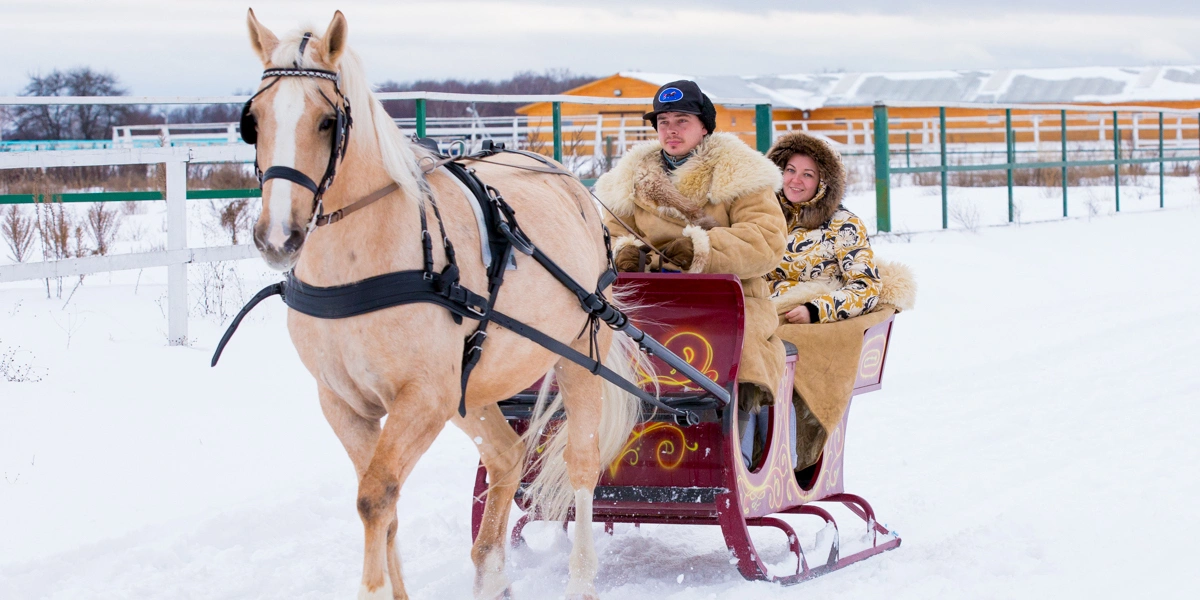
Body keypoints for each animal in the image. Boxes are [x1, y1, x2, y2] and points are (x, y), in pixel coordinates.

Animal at [243, 9, 648, 600]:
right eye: (253, 121)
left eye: (326, 121)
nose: (278, 238)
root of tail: (569, 182)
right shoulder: (343, 403)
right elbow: (382, 502)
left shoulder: (422, 399)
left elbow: (375, 496)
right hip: (473, 388)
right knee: (506, 457)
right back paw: (491, 573)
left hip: (576, 357)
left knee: (581, 463)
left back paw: (580, 578)